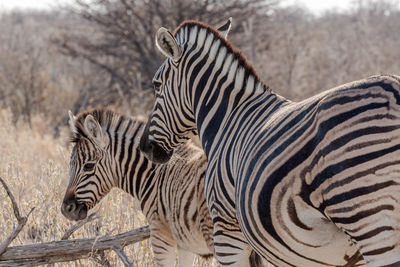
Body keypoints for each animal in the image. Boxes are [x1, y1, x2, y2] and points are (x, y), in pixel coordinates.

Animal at [60, 110, 216, 266]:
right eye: (70, 166)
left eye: (88, 166)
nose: (66, 209)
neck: (155, 175)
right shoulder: (184, 241)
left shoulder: (160, 233)